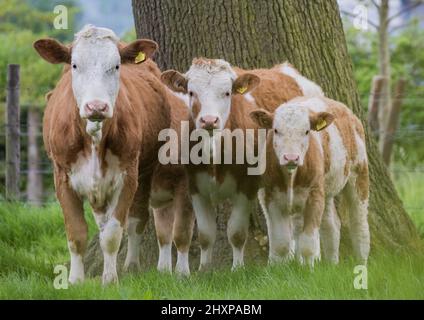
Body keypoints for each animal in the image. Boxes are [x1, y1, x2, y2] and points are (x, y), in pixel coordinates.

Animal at [34, 26, 194, 284]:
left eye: (116, 65)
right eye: (75, 65)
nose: (96, 107)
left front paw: (110, 279)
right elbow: (76, 233)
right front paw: (75, 280)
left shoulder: (127, 176)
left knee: (138, 219)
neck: (94, 138)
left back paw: (132, 266)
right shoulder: (62, 177)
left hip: (145, 173)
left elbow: (112, 233)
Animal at [161, 58, 322, 270]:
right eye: (191, 92)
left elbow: (236, 232)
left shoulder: (247, 185)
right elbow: (206, 233)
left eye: (227, 92)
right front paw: (204, 269)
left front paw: (237, 268)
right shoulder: (195, 186)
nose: (209, 120)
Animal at [250, 96, 370, 266]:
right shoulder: (270, 196)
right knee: (331, 224)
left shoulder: (314, 196)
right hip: (325, 189)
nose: (291, 157)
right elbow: (281, 243)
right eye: (276, 130)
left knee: (359, 224)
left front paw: (308, 268)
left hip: (358, 173)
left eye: (306, 131)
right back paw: (332, 264)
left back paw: (361, 263)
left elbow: (308, 244)